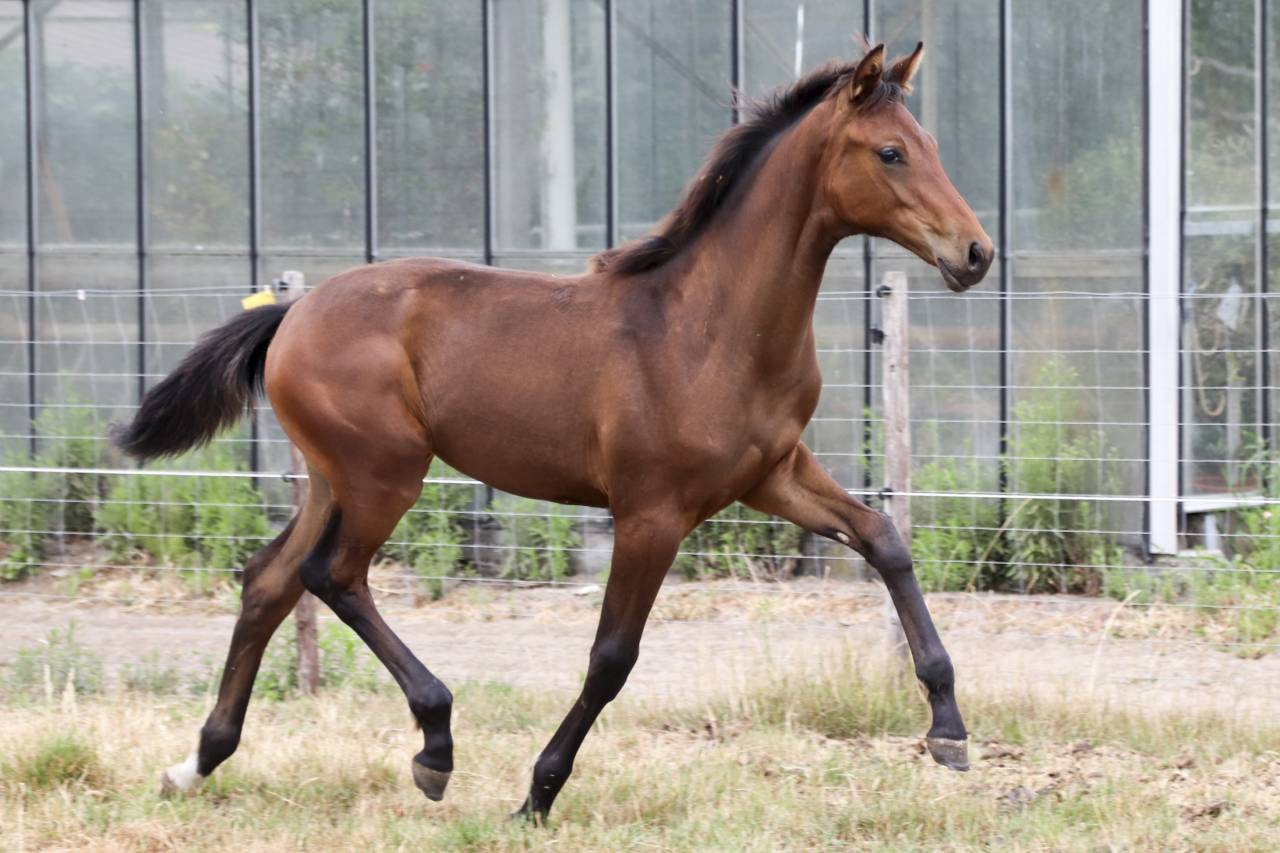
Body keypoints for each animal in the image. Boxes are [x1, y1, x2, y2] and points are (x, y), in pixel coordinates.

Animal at [113, 42, 992, 822]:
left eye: (931, 145)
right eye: (889, 152)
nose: (976, 252)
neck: (711, 326)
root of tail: (293, 312)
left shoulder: (771, 474)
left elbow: (884, 538)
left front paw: (949, 728)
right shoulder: (651, 512)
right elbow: (612, 658)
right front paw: (536, 794)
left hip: (335, 477)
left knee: (269, 579)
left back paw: (196, 763)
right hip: (384, 475)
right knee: (332, 575)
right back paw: (434, 743)